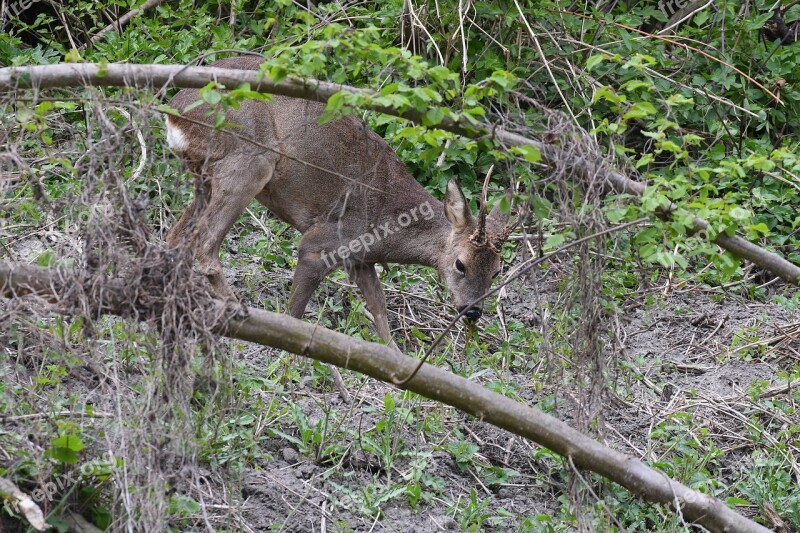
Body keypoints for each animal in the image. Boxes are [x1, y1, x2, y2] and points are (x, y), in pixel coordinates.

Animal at [166, 56, 516, 342]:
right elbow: (295, 312)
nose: (473, 311)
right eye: (460, 264)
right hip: (248, 161)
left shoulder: (360, 259)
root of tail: (175, 114)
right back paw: (236, 309)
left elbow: (380, 310)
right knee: (204, 245)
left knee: (175, 236)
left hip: (204, 175)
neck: (389, 221)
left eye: (497, 271)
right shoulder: (323, 242)